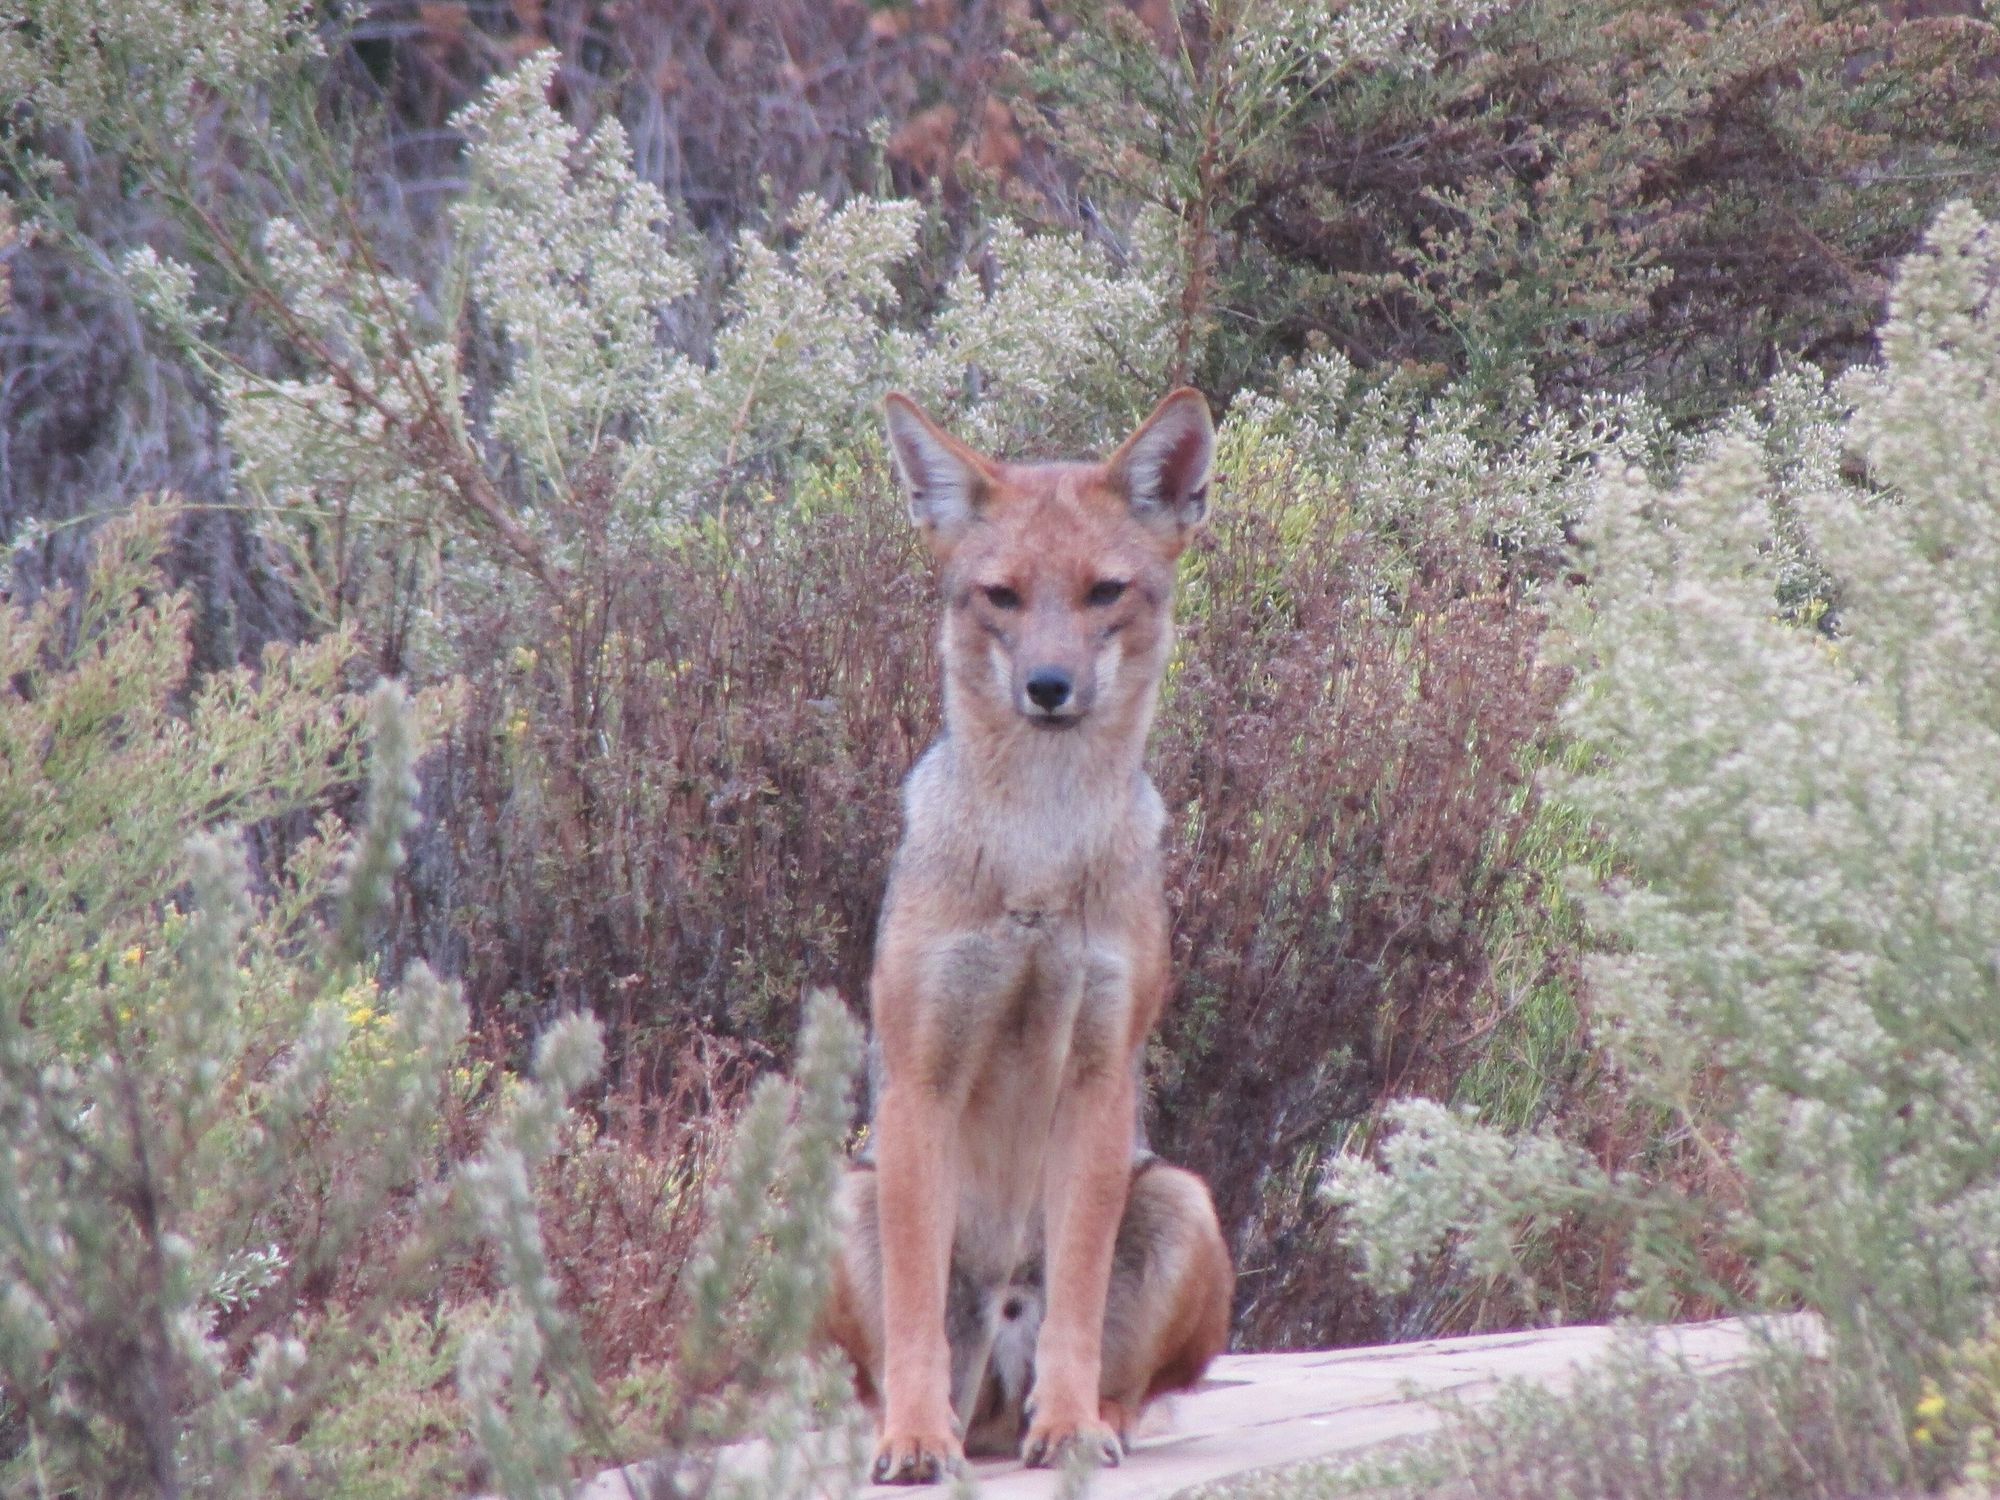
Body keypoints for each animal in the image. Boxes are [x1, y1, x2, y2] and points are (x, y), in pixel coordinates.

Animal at [822, 389, 1235, 1483]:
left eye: (1104, 592)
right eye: (1001, 597)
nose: (1049, 684)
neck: (1037, 864)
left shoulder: (1096, 1075)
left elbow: (1077, 1302)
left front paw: (1073, 1425)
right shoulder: (921, 1080)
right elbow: (917, 1313)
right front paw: (914, 1439)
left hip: (1183, 1198)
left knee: (1133, 1382)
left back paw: (1083, 1422)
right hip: (845, 1196)